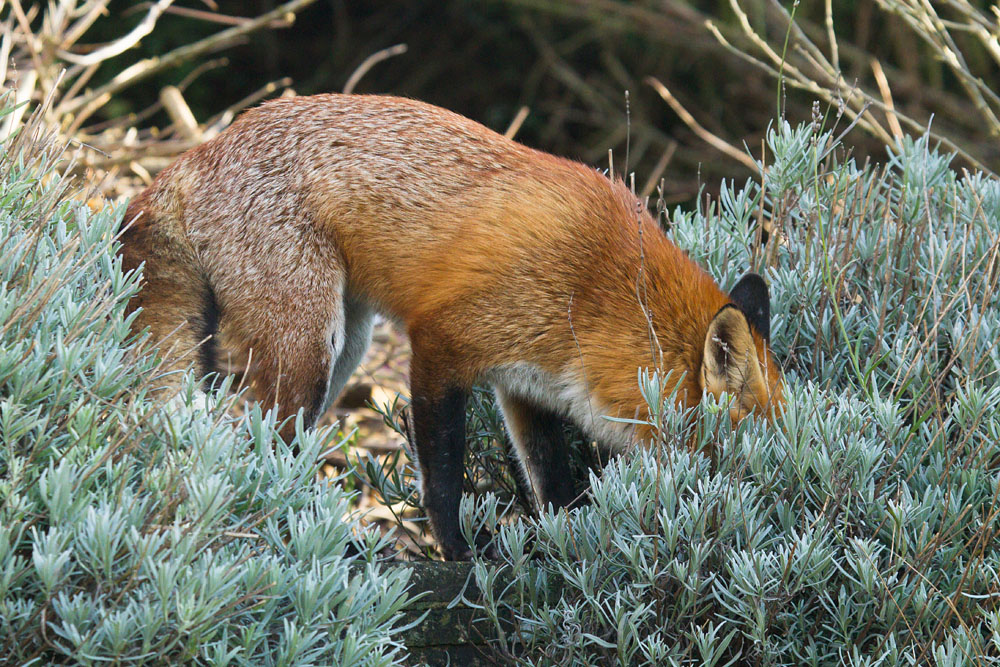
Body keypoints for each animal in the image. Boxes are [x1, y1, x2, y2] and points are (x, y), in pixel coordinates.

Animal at [120, 93, 784, 560]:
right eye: (754, 456)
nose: (779, 511)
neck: (595, 287)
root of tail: (196, 154)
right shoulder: (441, 344)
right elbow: (443, 476)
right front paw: (462, 554)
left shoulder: (526, 386)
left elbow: (552, 481)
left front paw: (567, 547)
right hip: (311, 347)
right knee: (264, 444)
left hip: (346, 346)